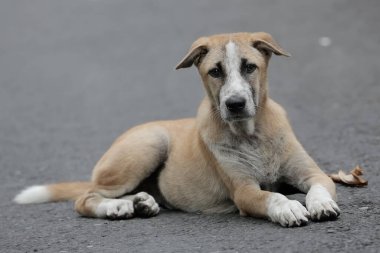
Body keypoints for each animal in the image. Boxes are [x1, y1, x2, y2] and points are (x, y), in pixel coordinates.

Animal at [15, 32, 342, 227]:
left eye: (250, 67)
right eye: (215, 71)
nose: (235, 104)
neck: (252, 134)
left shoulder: (312, 173)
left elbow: (318, 188)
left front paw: (320, 204)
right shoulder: (244, 191)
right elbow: (272, 196)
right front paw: (289, 208)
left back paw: (140, 203)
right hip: (149, 144)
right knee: (85, 197)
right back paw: (114, 208)